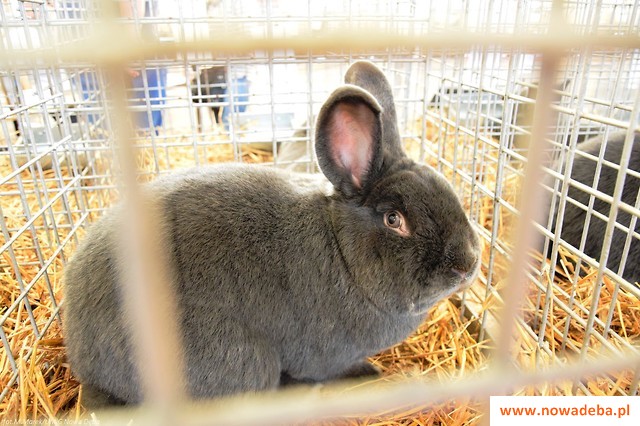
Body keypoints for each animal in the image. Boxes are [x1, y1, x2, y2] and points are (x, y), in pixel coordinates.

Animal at [63, 61, 481, 408]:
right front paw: (368, 372)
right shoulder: (324, 355)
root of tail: (84, 360)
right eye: (394, 220)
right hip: (243, 360)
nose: (467, 265)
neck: (343, 253)